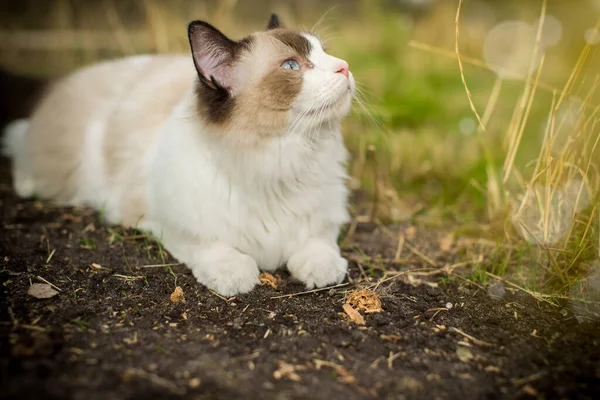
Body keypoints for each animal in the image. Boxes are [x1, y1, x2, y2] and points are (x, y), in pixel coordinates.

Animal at [1, 13, 356, 296]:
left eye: (324, 52)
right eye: (292, 66)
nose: (345, 67)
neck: (280, 161)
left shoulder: (322, 219)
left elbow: (319, 244)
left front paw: (322, 271)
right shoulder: (162, 221)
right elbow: (213, 247)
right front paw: (236, 277)